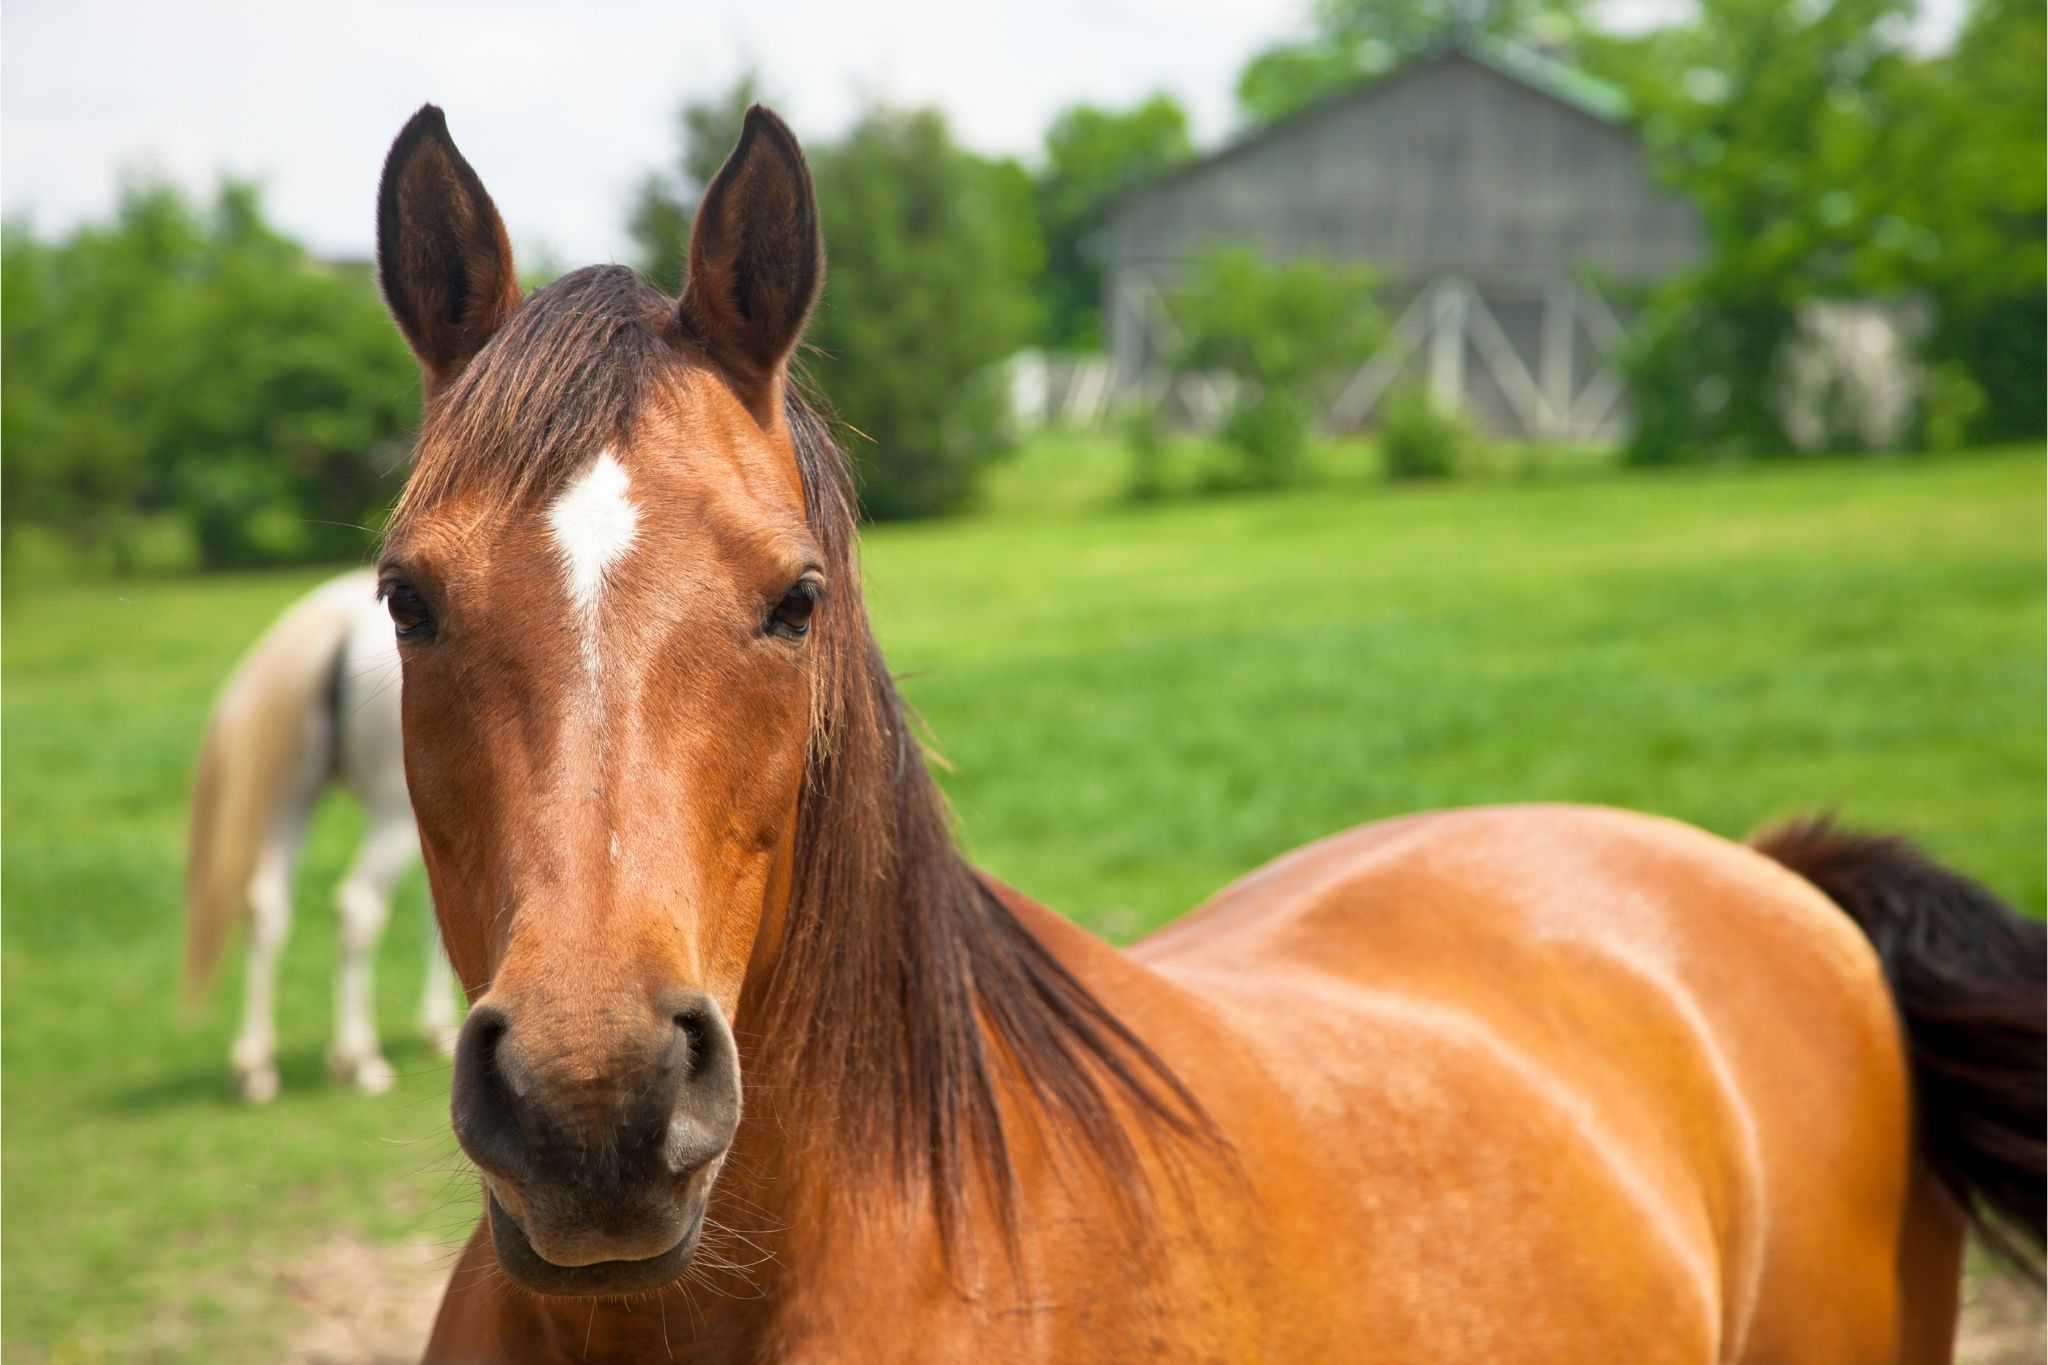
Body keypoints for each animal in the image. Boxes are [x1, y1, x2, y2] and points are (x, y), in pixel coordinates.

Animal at [185, 569, 460, 1102]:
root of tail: (335, 619)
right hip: (392, 812)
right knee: (357, 907)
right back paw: (359, 1059)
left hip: (292, 799)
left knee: (266, 906)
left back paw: (256, 1067)